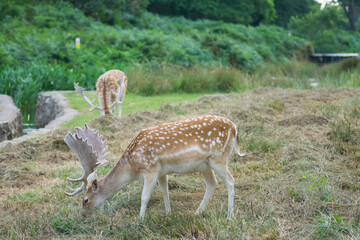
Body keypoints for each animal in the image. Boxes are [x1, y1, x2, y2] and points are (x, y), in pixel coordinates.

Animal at [64, 115, 245, 218]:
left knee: (230, 181)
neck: (133, 165)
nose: (83, 215)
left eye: (85, 199)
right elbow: (165, 191)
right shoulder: (161, 171)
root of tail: (235, 128)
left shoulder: (150, 168)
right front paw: (169, 214)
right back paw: (197, 212)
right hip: (205, 165)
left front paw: (140, 220)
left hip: (219, 157)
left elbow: (145, 196)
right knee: (212, 184)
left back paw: (229, 215)